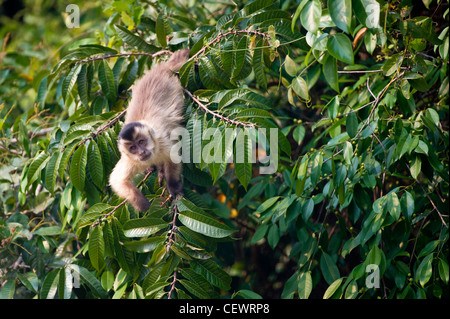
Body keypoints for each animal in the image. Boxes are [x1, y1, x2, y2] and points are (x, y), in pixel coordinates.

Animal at [109, 49, 190, 212]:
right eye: (133, 148)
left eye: (142, 142)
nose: (141, 152)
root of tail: (158, 70)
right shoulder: (131, 160)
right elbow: (117, 181)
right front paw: (143, 205)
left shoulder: (162, 143)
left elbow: (173, 157)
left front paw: (173, 187)